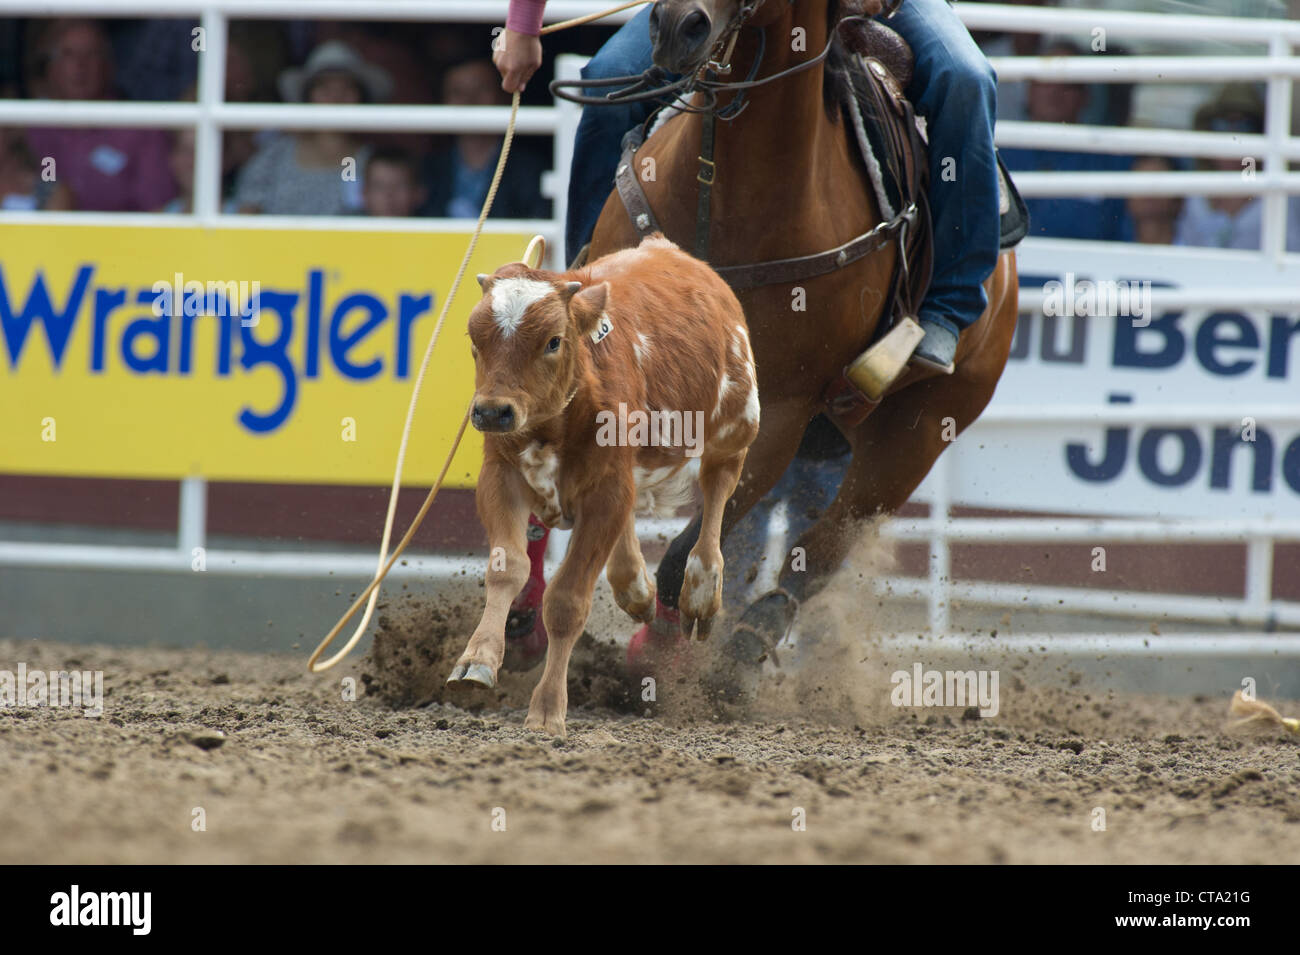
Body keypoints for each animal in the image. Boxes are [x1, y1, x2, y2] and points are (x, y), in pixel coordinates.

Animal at [444, 235, 759, 738]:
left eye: (553, 341)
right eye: (476, 340)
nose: (492, 411)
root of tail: (668, 248)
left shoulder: (606, 493)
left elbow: (567, 601)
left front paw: (548, 709)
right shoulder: (501, 477)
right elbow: (507, 568)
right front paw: (477, 660)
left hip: (737, 425)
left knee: (718, 490)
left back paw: (700, 590)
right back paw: (636, 587)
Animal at [585, 0, 1019, 696]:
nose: (679, 25)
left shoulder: (781, 409)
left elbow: (689, 551)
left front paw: (661, 649)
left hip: (915, 435)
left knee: (821, 550)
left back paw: (738, 651)